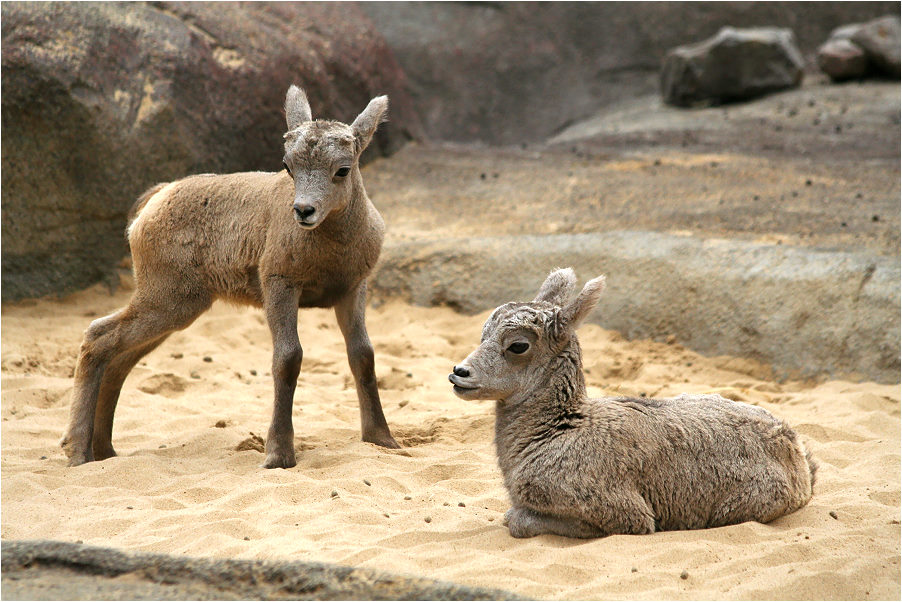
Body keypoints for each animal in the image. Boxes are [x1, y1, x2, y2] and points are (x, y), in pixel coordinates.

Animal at [60, 85, 400, 468]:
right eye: (288, 166)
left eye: (342, 169)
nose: (304, 211)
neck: (331, 253)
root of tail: (151, 205)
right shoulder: (279, 284)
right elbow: (288, 358)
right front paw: (278, 455)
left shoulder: (353, 289)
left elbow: (363, 355)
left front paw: (383, 440)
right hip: (165, 300)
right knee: (98, 335)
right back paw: (78, 453)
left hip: (176, 309)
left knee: (119, 359)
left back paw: (104, 452)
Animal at [452, 270, 820, 536]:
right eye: (483, 333)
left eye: (518, 346)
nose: (459, 373)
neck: (559, 430)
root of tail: (794, 447)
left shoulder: (624, 513)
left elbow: (517, 520)